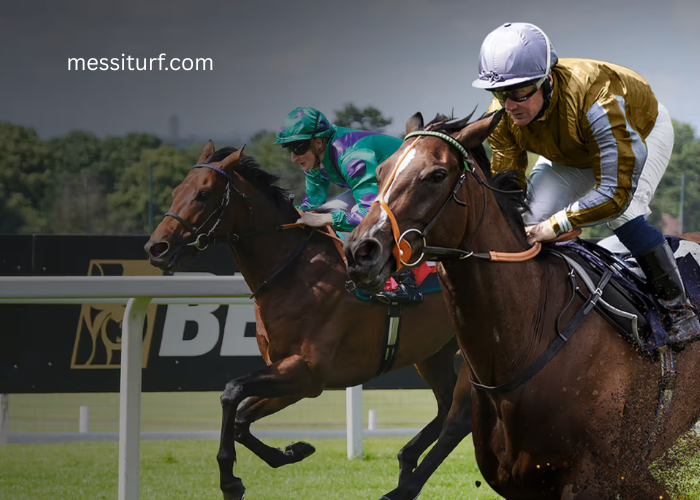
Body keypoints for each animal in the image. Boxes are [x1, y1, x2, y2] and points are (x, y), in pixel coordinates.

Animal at [144, 141, 474, 500]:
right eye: (176, 190)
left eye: (203, 194)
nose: (156, 247)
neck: (294, 272)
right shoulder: (289, 374)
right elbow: (241, 420)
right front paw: (293, 450)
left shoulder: (307, 373)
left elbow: (231, 392)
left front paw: (230, 481)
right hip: (434, 353)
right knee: (445, 405)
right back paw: (406, 459)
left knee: (460, 418)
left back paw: (405, 483)